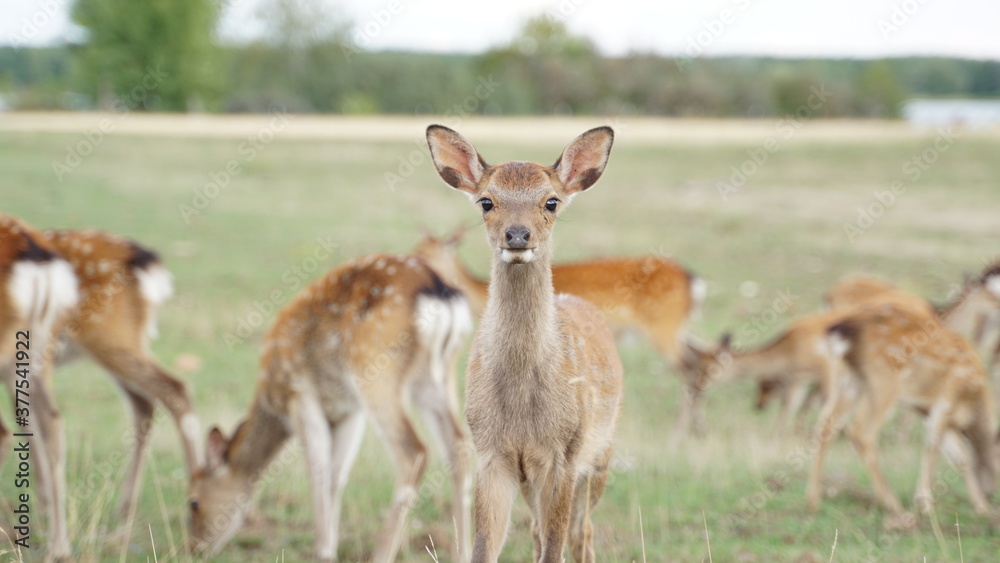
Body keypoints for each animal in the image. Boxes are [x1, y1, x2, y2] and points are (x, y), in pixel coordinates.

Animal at [189, 254, 474, 563]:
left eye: (193, 502)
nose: (194, 549)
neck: (271, 396)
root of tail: (439, 290)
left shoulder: (300, 395)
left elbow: (318, 472)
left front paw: (324, 551)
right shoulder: (348, 411)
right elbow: (337, 476)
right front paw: (332, 545)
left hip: (373, 369)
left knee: (414, 452)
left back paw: (381, 555)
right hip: (437, 377)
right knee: (458, 445)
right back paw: (465, 553)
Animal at [414, 229, 704, 436]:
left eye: (427, 254)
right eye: (418, 250)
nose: (418, 269)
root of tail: (694, 282)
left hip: (663, 327)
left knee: (691, 365)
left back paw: (680, 433)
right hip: (679, 328)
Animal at [424, 124, 624, 563]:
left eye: (551, 201)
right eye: (486, 201)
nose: (517, 235)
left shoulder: (565, 453)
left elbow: (555, 548)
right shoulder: (490, 452)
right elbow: (485, 548)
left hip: (601, 453)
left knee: (582, 534)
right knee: (539, 531)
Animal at [808, 304, 996, 528]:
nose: (990, 494)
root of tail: (840, 332)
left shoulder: (930, 411)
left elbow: (960, 455)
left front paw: (981, 508)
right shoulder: (946, 401)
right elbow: (933, 447)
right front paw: (925, 504)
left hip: (846, 379)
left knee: (825, 427)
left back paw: (813, 501)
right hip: (884, 379)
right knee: (862, 432)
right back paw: (894, 505)